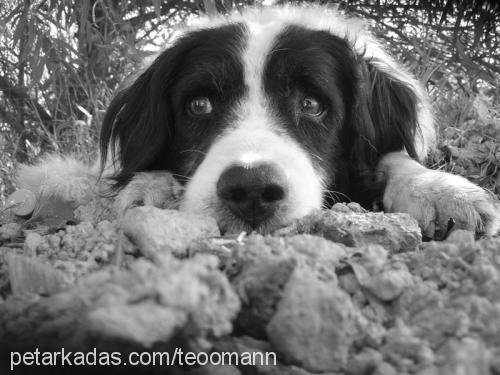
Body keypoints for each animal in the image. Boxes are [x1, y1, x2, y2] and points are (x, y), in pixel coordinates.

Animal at [15, 5, 500, 238]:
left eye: (312, 104)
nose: (250, 190)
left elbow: (394, 159)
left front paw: (441, 190)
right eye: (199, 105)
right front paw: (153, 187)